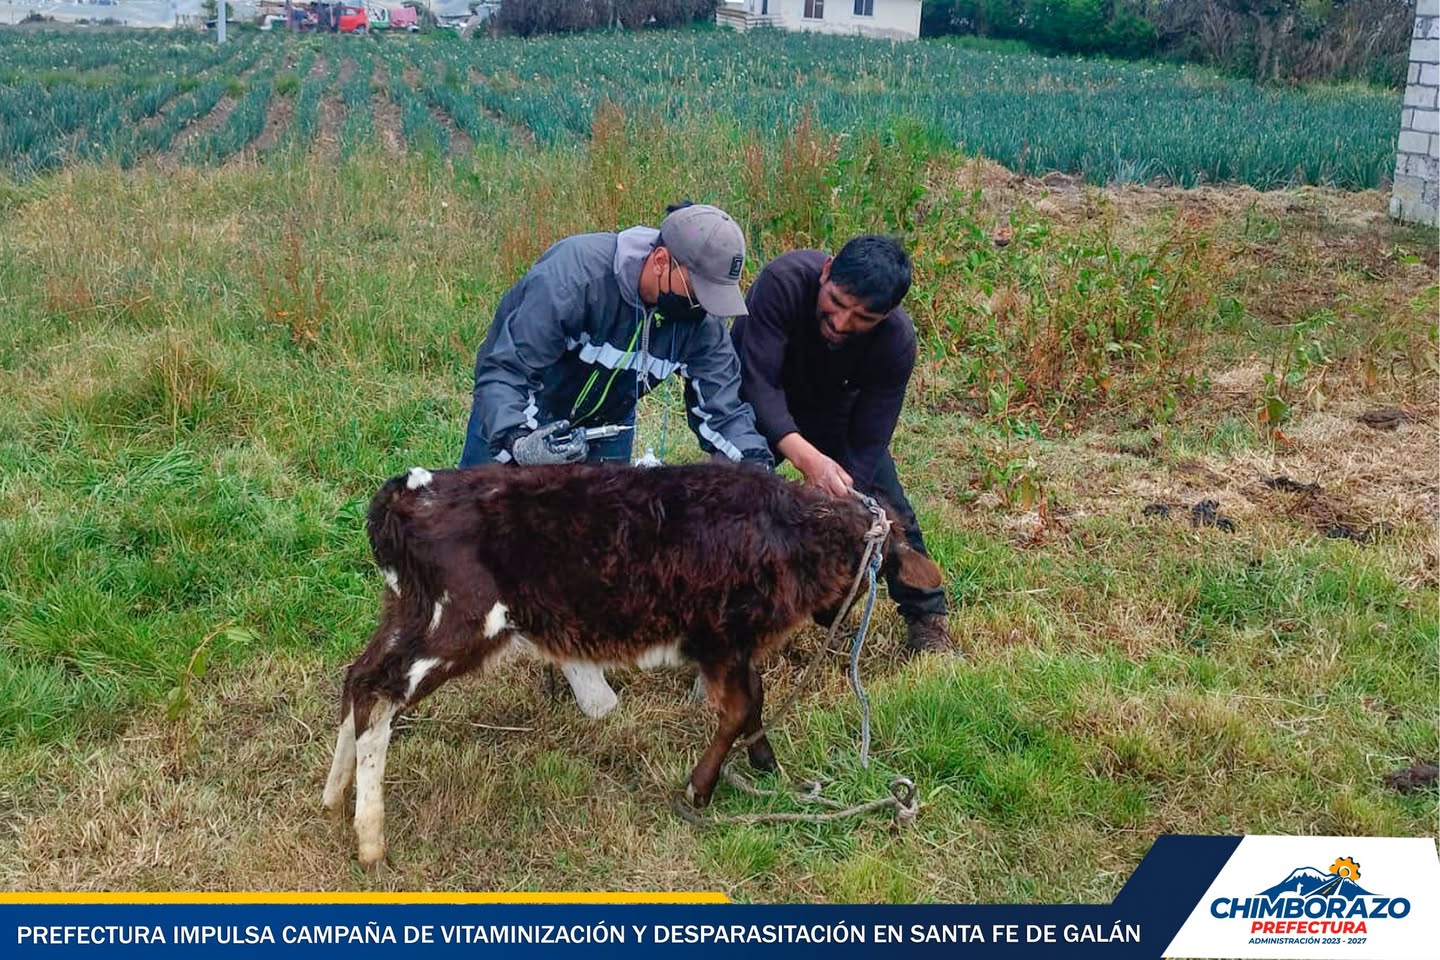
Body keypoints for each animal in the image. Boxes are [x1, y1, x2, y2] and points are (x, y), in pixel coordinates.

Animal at [321, 460, 938, 869]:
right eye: (877, 572)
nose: (836, 614)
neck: (794, 531)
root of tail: (410, 491)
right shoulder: (720, 638)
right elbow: (741, 707)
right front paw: (700, 790)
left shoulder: (734, 646)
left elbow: (757, 700)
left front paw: (766, 766)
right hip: (459, 622)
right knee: (379, 693)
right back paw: (370, 840)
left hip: (407, 609)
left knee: (358, 677)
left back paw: (333, 800)